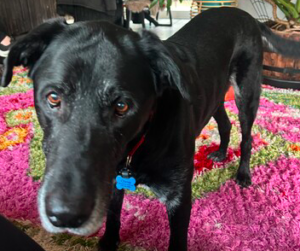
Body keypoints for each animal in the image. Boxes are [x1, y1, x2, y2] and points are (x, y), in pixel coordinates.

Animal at [1, 7, 300, 251]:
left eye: (122, 105)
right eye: (53, 97)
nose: (65, 216)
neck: (138, 146)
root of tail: (243, 14)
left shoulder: (178, 200)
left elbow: (176, 241)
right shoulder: (112, 182)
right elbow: (112, 217)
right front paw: (108, 243)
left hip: (247, 92)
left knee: (247, 137)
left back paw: (243, 174)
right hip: (215, 95)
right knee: (225, 123)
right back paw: (220, 152)